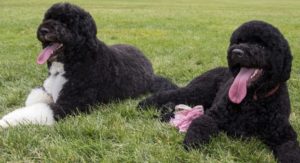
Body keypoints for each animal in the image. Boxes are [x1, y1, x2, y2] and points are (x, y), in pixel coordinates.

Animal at [0, 2, 177, 127]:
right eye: (48, 18)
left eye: (66, 23)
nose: (43, 30)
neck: (74, 61)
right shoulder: (48, 89)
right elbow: (34, 98)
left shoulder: (71, 104)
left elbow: (37, 109)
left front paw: (5, 121)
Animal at [139, 20, 300, 162]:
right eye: (238, 41)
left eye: (260, 45)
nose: (236, 52)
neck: (252, 100)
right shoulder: (213, 116)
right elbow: (200, 125)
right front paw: (191, 146)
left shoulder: (284, 135)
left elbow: (290, 150)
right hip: (197, 92)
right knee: (171, 95)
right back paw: (143, 104)